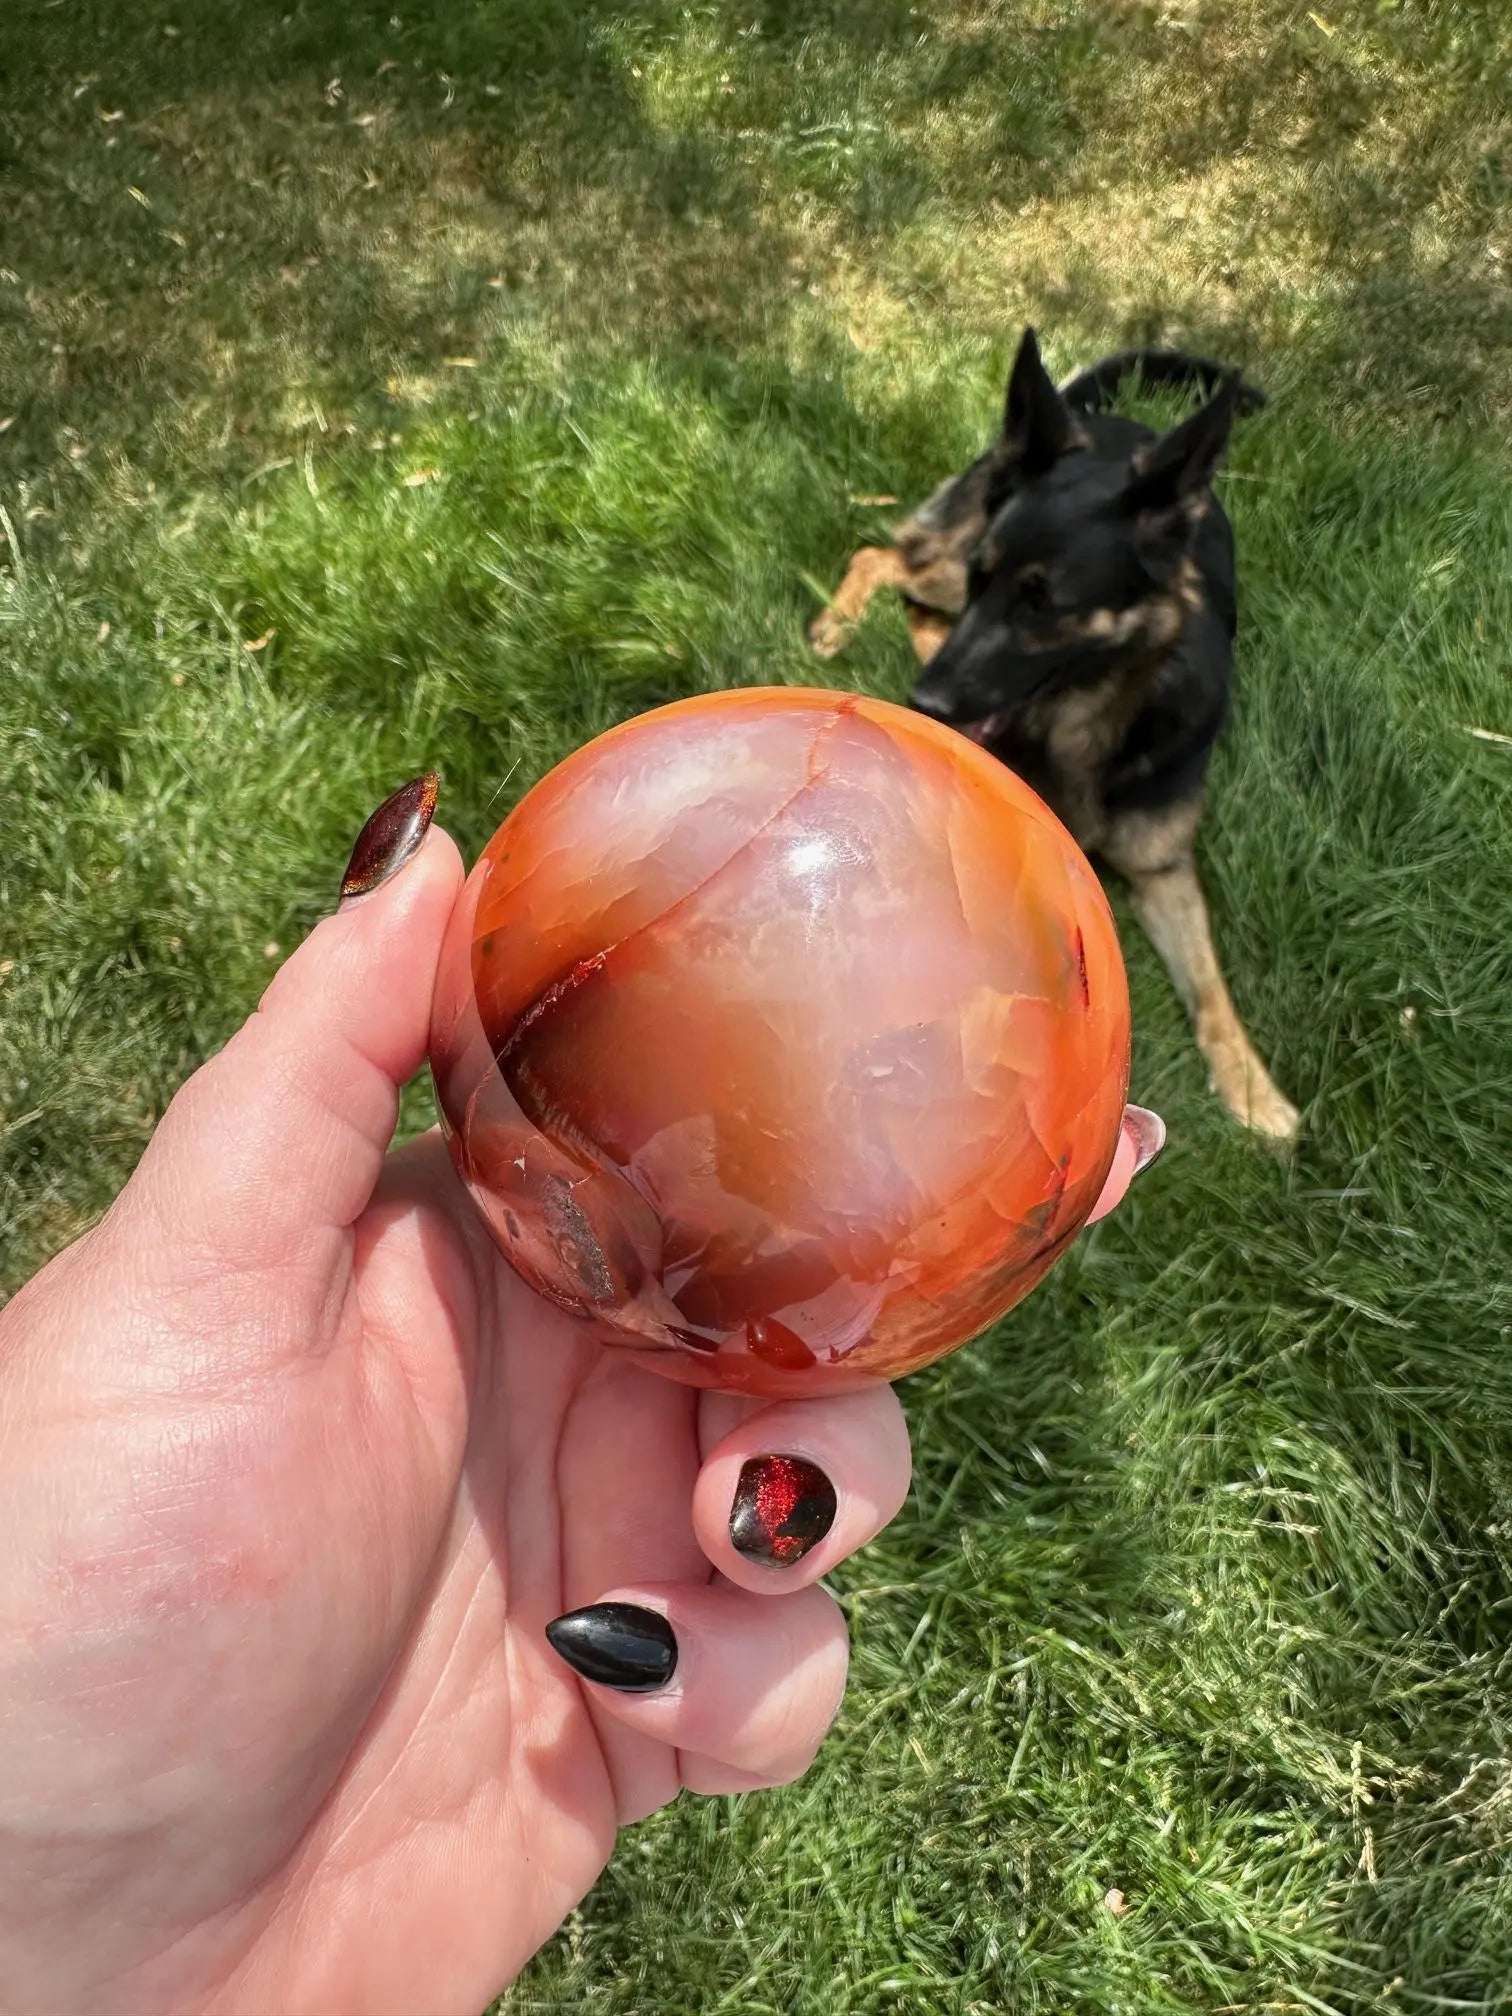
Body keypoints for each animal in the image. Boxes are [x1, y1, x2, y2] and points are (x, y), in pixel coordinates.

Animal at [818, 326, 1306, 1137]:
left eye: (1043, 604)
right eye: (987, 580)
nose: (924, 701)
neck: (1086, 718)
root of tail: (1094, 423)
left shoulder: (1164, 873)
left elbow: (1212, 990)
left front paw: (1252, 1086)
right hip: (940, 567)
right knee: (881, 557)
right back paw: (837, 622)